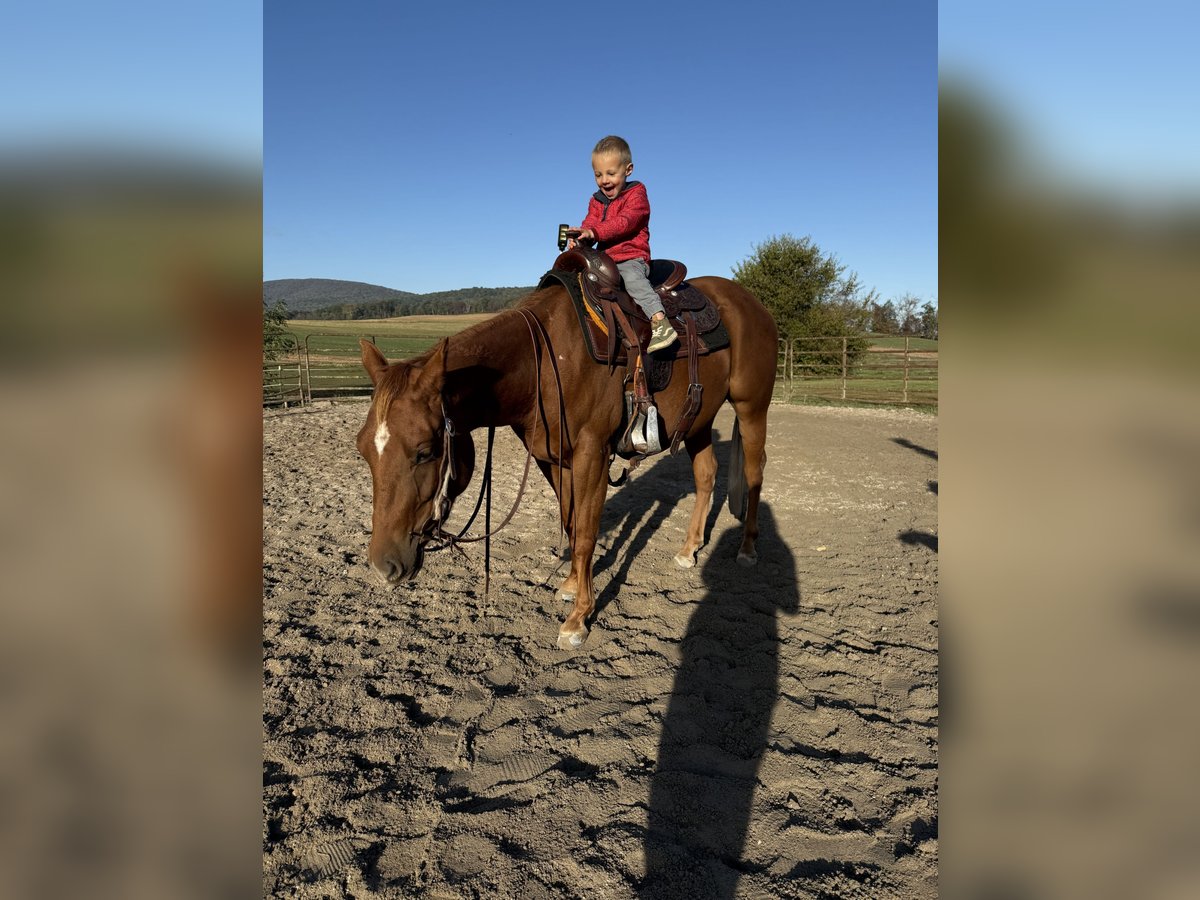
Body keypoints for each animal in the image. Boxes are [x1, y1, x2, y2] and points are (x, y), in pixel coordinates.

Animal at [355, 275, 777, 649]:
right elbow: (571, 524)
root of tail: (751, 303)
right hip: (698, 421)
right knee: (706, 475)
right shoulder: (554, 459)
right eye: (363, 450)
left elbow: (587, 533)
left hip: (752, 408)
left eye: (425, 451)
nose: (384, 566)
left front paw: (578, 620)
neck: (543, 360)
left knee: (754, 473)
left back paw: (748, 549)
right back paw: (689, 550)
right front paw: (573, 586)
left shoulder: (592, 455)